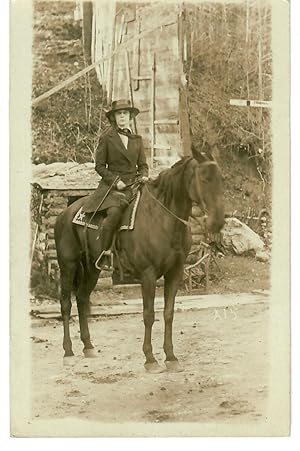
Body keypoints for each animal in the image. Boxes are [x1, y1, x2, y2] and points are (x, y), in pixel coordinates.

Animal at [54, 150, 224, 372]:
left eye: (221, 179)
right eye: (203, 178)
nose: (218, 221)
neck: (162, 219)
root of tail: (65, 214)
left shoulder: (175, 273)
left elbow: (168, 313)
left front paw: (171, 357)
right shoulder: (148, 275)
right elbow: (149, 314)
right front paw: (150, 358)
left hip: (92, 269)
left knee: (82, 299)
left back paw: (88, 346)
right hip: (68, 265)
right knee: (66, 303)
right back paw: (68, 352)